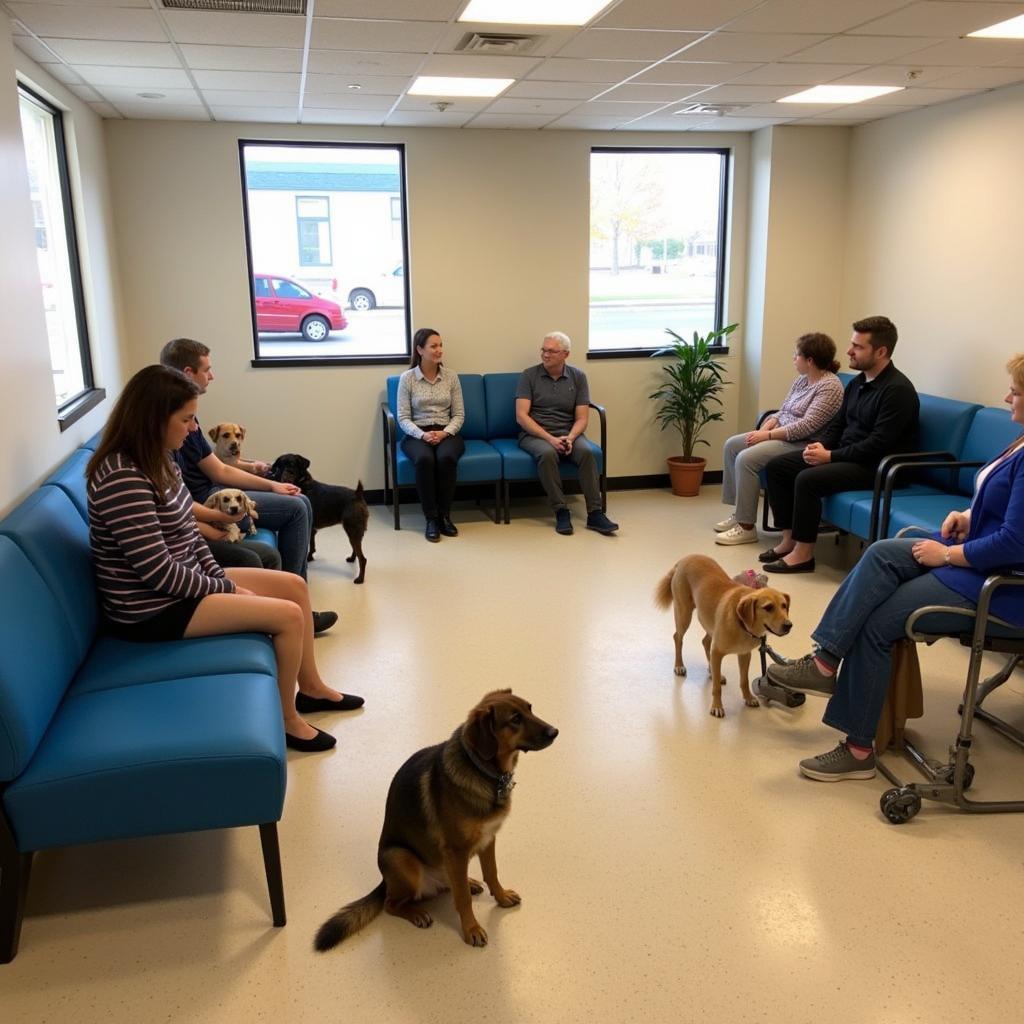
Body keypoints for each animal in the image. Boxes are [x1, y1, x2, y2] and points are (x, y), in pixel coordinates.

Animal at [270, 454, 370, 589]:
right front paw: (310, 557)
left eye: (292, 465)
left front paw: (308, 558)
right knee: (356, 550)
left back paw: (360, 579)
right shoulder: (312, 530)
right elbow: (312, 545)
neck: (302, 482)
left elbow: (309, 545)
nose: (284, 476)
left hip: (352, 530)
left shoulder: (309, 528)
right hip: (353, 531)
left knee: (363, 559)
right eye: (280, 465)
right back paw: (352, 559)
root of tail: (357, 495)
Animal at [313, 688, 561, 950]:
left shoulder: (488, 838)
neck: (482, 770)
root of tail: (384, 882)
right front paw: (471, 929)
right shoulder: (456, 848)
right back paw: (417, 913)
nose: (555, 731)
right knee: (392, 903)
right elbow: (462, 899)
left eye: (529, 708)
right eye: (515, 719)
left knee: (450, 883)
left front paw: (501, 897)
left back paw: (468, 882)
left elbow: (492, 873)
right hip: (402, 858)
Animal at [655, 557, 790, 716]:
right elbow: (716, 688)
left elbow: (744, 680)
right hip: (684, 614)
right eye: (768, 607)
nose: (789, 625)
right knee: (678, 638)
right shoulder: (717, 652)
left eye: (784, 606)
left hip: (708, 622)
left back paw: (713, 672)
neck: (741, 622)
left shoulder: (744, 655)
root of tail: (683, 559)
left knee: (705, 642)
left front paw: (748, 698)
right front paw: (717, 706)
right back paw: (679, 666)